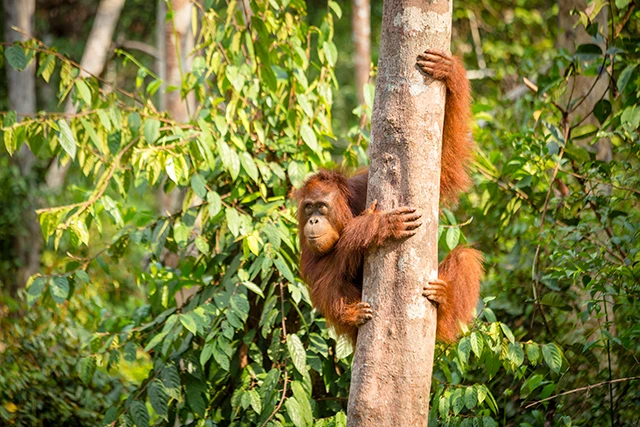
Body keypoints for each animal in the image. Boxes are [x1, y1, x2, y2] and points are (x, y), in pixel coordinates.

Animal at [294, 49, 483, 343]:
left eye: (321, 207)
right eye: (308, 208)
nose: (313, 220)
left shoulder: (361, 186)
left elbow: (442, 172)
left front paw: (449, 71)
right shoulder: (307, 241)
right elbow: (320, 273)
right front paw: (376, 225)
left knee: (465, 257)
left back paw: (444, 301)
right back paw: (351, 313)